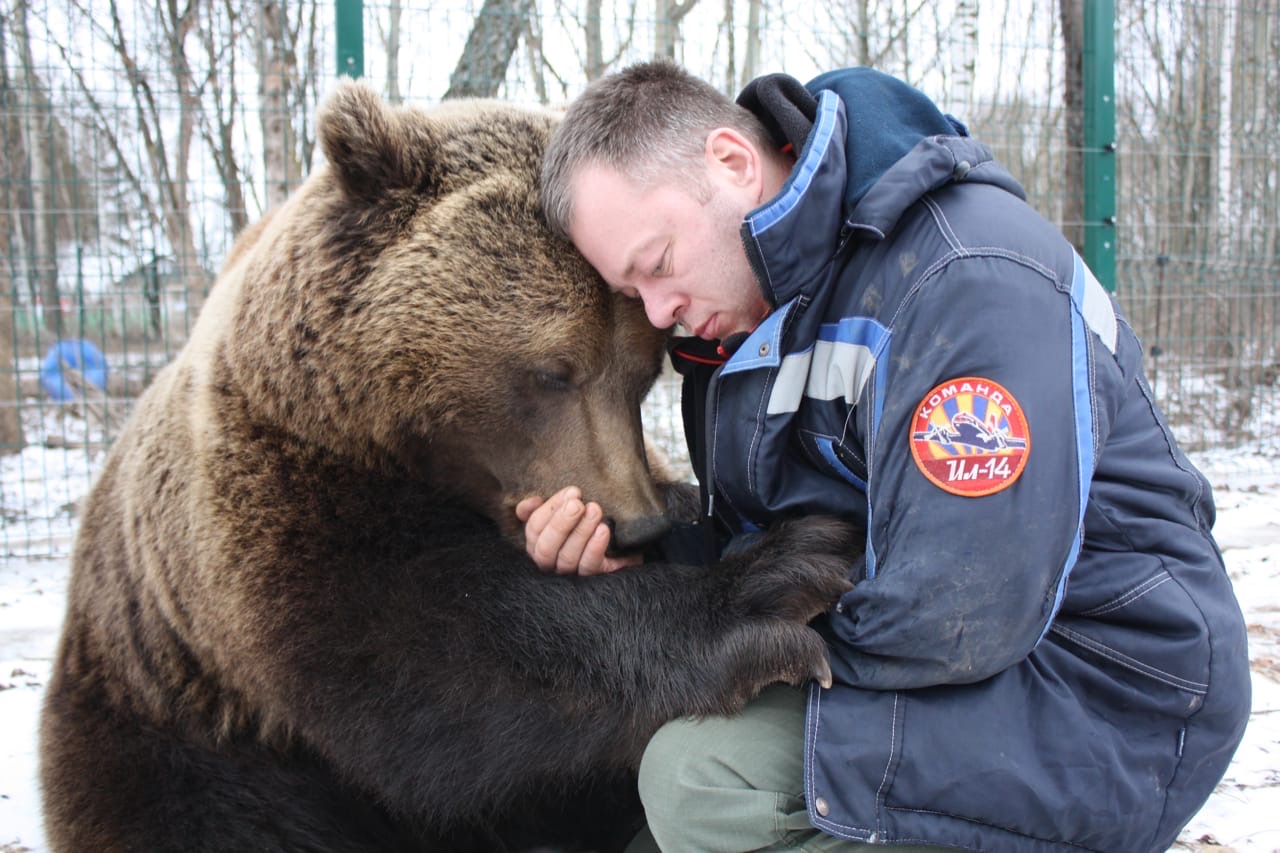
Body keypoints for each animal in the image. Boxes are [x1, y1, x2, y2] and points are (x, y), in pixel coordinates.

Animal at [37, 81, 860, 850]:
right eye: (553, 371)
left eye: (642, 370)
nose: (635, 524)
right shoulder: (274, 508)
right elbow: (424, 653)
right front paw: (778, 581)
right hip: (169, 728)